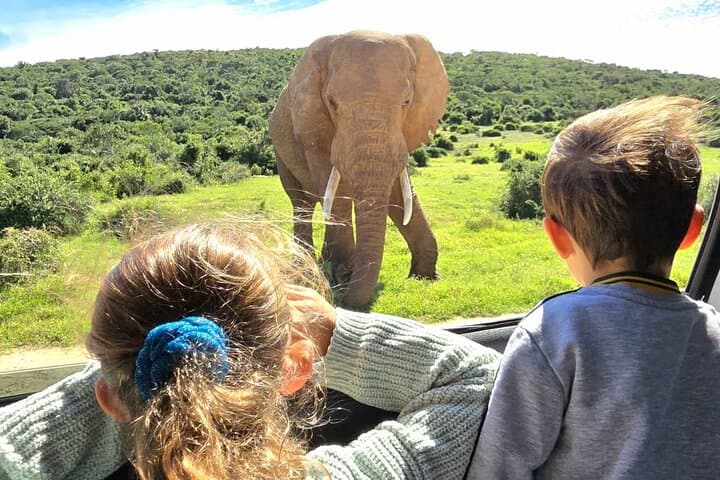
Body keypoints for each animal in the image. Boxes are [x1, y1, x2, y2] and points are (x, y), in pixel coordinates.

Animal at [269, 31, 448, 309]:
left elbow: (398, 193)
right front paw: (341, 274)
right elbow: (336, 191)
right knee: (301, 203)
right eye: (332, 102)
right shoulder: (314, 127)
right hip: (280, 150)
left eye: (406, 102)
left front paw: (424, 277)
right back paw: (307, 265)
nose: (342, 298)